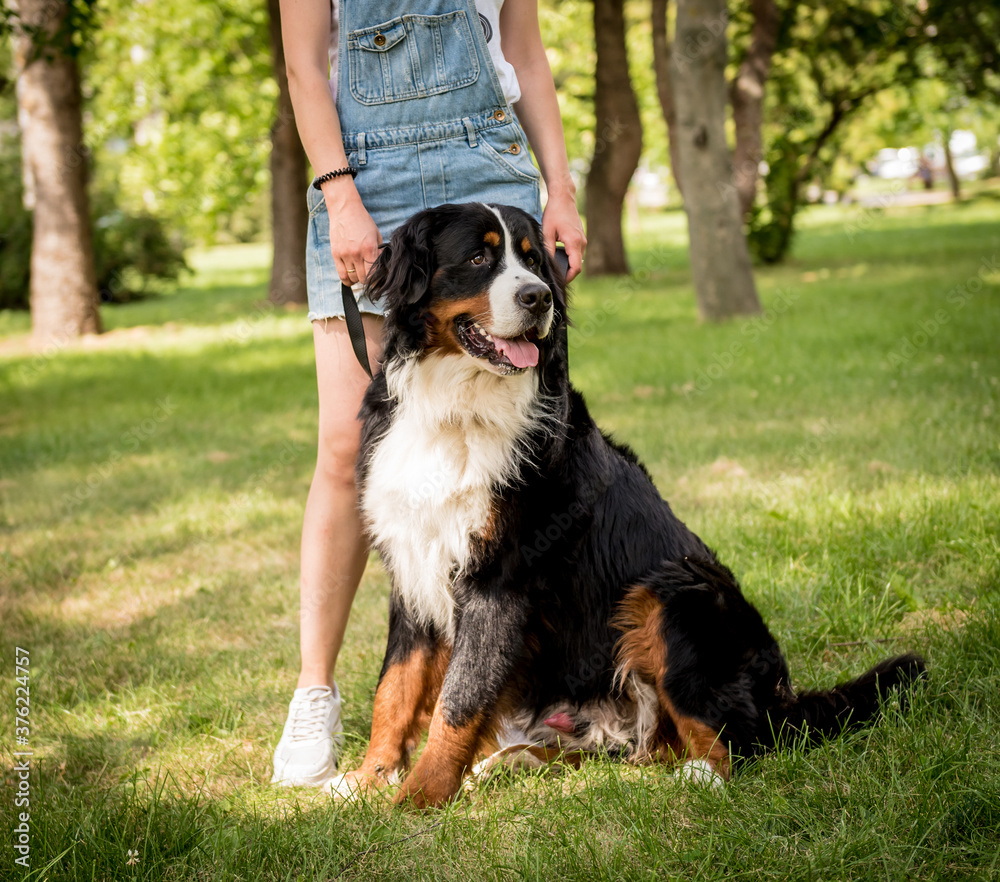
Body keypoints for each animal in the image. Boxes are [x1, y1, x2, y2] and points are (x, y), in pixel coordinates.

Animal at [330, 203, 928, 808]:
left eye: (533, 260)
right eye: (478, 257)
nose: (538, 298)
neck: (457, 407)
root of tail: (780, 696)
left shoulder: (498, 581)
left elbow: (460, 697)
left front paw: (419, 797)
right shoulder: (412, 568)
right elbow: (396, 686)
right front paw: (369, 778)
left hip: (674, 592)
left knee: (728, 738)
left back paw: (699, 776)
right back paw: (511, 761)